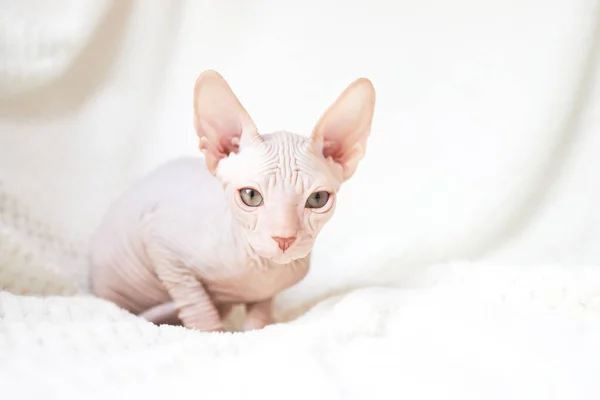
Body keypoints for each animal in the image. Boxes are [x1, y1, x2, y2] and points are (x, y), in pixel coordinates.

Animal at [89, 70, 376, 332]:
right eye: (251, 196)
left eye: (317, 199)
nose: (284, 239)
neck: (261, 267)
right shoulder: (162, 245)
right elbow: (197, 305)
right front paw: (212, 333)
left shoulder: (265, 292)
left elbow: (260, 312)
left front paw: (253, 330)